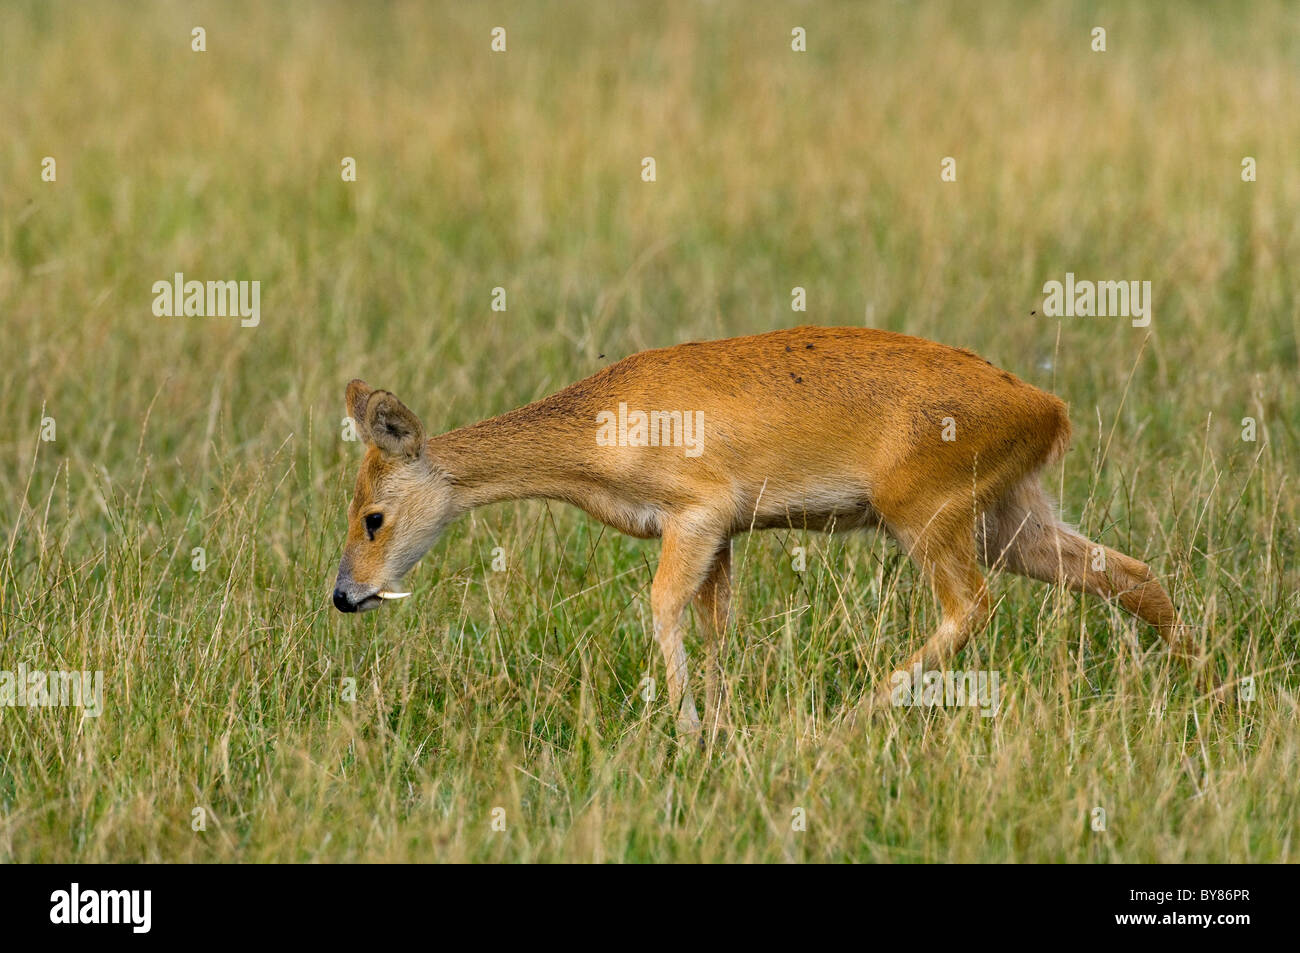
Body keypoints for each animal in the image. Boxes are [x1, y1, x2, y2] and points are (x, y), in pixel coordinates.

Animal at [332, 327, 1206, 738]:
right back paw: (1205, 682)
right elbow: (717, 624)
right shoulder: (722, 537)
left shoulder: (696, 516)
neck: (602, 427)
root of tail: (1048, 407)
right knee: (1133, 574)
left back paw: (848, 719)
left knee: (971, 607)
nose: (345, 594)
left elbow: (664, 608)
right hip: (1011, 519)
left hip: (927, 516)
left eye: (373, 515)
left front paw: (688, 731)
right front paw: (719, 724)